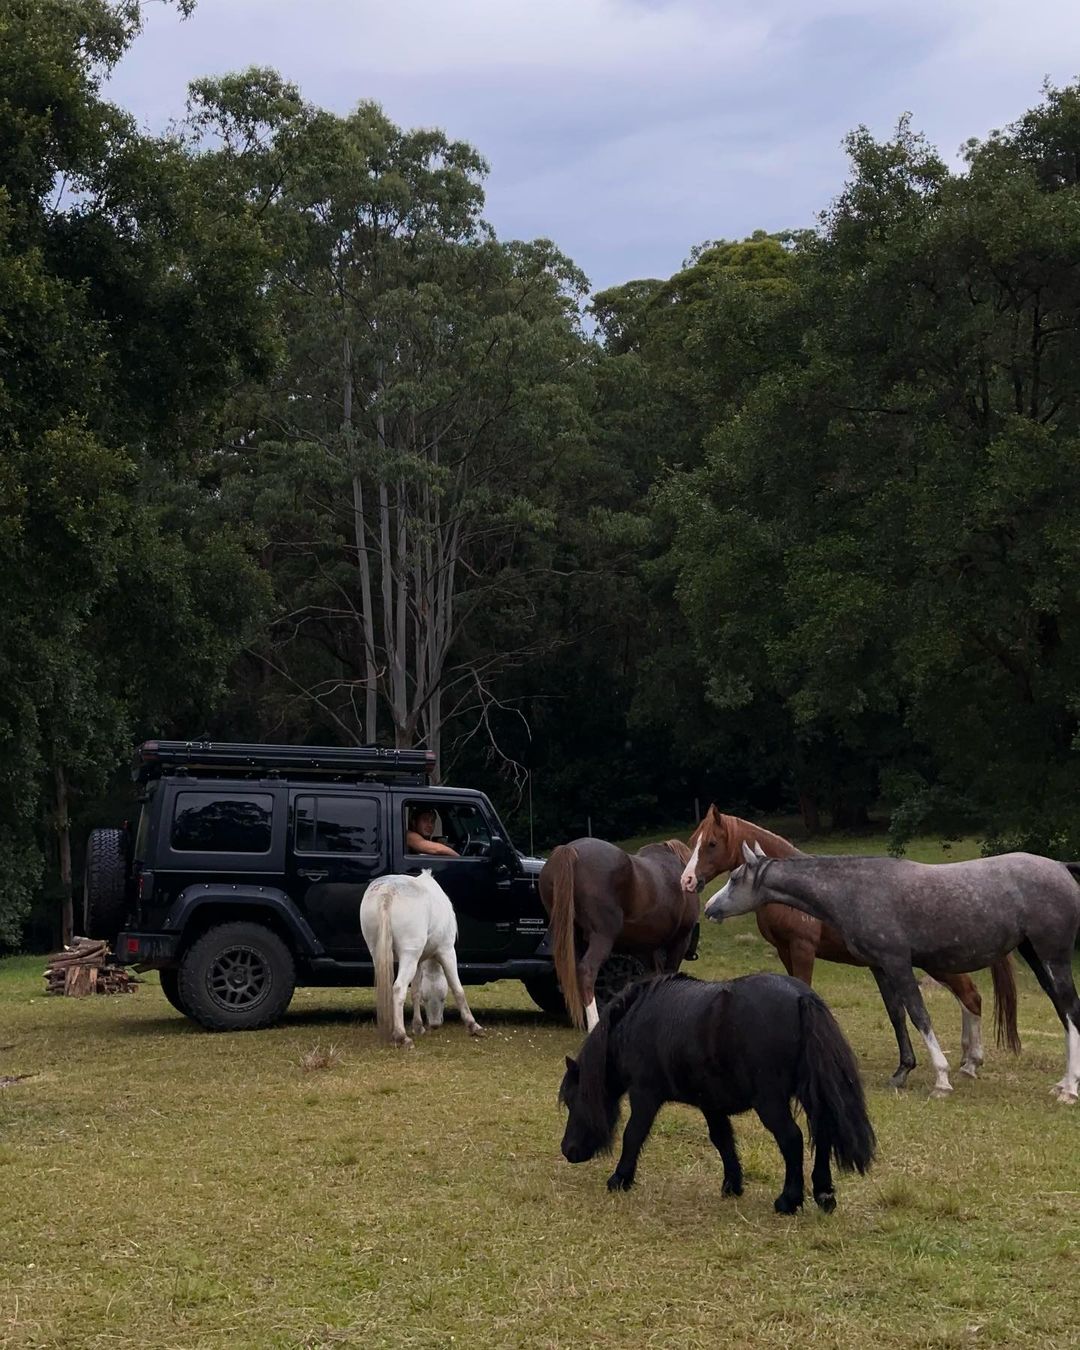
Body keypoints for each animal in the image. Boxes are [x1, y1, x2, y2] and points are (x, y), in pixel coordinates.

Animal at [359, 870, 483, 1048]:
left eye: (441, 999)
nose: (435, 1025)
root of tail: (387, 891)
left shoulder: (418, 961)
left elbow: (415, 991)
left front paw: (418, 1026)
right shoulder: (447, 951)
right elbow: (457, 988)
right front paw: (473, 1025)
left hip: (379, 953)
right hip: (409, 956)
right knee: (398, 988)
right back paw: (402, 1036)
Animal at [558, 972, 876, 1215]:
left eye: (574, 1100)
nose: (568, 1150)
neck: (636, 1022)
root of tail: (801, 997)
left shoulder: (644, 1094)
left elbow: (633, 1134)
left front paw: (619, 1178)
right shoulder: (711, 1104)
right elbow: (722, 1140)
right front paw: (732, 1185)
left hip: (770, 1102)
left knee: (792, 1139)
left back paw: (788, 1200)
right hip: (809, 1094)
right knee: (823, 1133)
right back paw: (824, 1195)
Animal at [680, 807, 1020, 1078]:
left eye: (711, 843)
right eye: (692, 840)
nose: (687, 881)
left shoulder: (803, 949)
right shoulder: (787, 952)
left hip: (939, 964)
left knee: (971, 996)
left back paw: (970, 1062)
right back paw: (967, 1059)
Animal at [706, 844, 1080, 1102]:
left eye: (735, 879)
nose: (709, 907)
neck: (856, 889)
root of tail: (1062, 867)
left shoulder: (898, 963)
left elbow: (919, 1015)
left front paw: (941, 1080)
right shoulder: (881, 967)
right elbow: (896, 1015)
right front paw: (902, 1071)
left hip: (1054, 958)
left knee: (1070, 1011)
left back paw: (1069, 1090)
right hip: (1038, 959)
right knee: (1063, 1012)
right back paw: (1063, 1082)